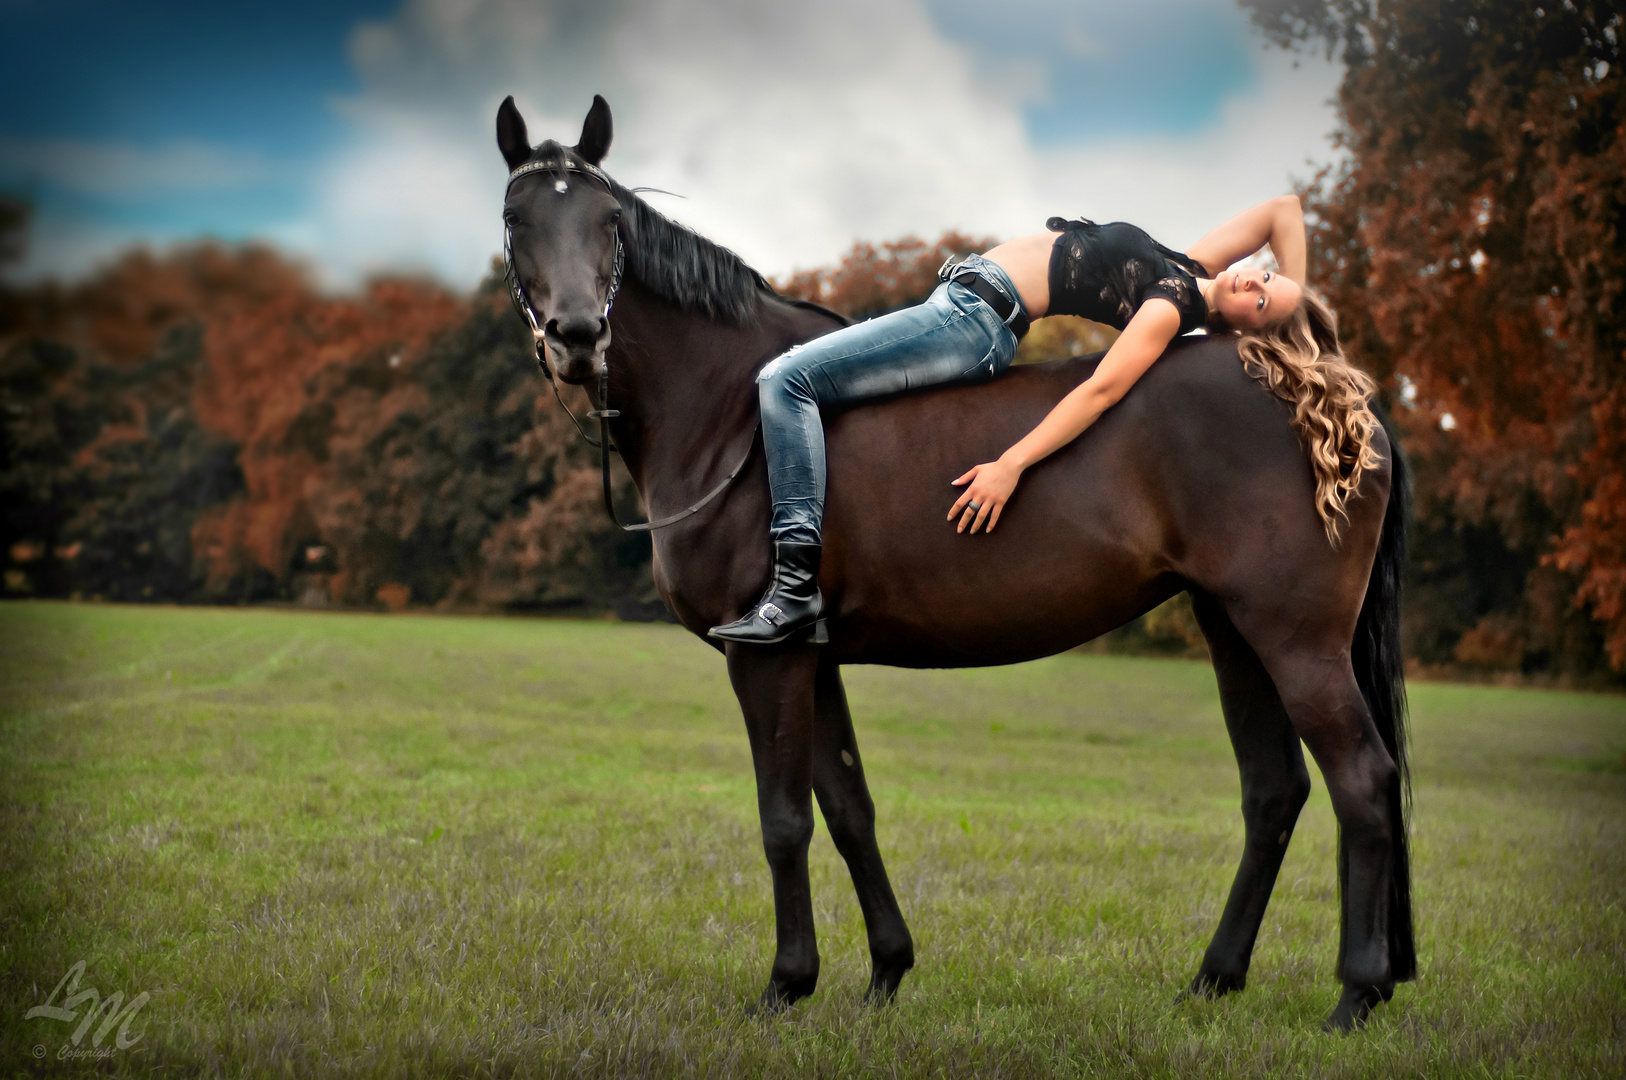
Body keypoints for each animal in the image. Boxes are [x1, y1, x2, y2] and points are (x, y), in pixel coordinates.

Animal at [491, 94, 1411, 1027]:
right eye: (516, 218)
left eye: (609, 221)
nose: (577, 335)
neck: (730, 409)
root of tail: (1326, 391)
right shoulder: (813, 657)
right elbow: (848, 808)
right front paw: (885, 971)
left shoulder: (765, 656)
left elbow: (784, 819)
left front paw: (787, 984)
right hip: (1234, 632)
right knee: (1275, 792)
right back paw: (1216, 977)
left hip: (1295, 639)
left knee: (1363, 782)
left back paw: (1356, 992)